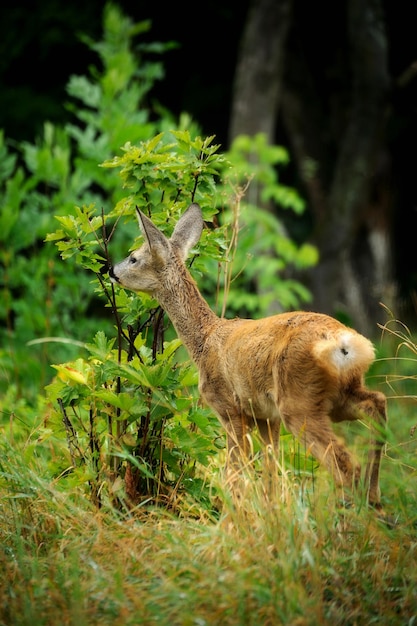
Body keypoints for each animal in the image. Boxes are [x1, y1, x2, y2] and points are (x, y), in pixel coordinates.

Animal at [108, 202, 386, 510]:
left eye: (134, 258)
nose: (111, 270)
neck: (204, 340)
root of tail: (343, 342)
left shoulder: (229, 407)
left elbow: (233, 472)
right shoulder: (266, 417)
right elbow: (271, 470)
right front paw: (271, 510)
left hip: (298, 400)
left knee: (345, 464)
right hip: (338, 395)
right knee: (377, 404)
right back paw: (374, 498)